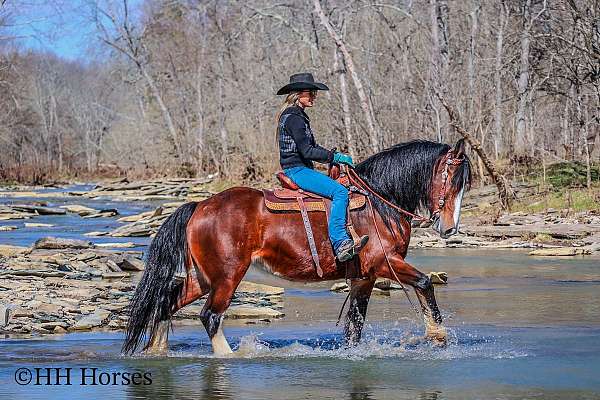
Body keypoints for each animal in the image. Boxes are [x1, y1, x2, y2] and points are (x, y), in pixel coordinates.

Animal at [120, 139, 468, 354]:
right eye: (451, 179)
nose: (449, 228)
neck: (378, 202)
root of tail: (200, 206)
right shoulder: (385, 263)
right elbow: (424, 283)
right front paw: (438, 337)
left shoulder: (364, 278)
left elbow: (355, 326)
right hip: (227, 277)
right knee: (210, 317)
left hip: (205, 278)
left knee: (166, 303)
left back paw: (156, 350)